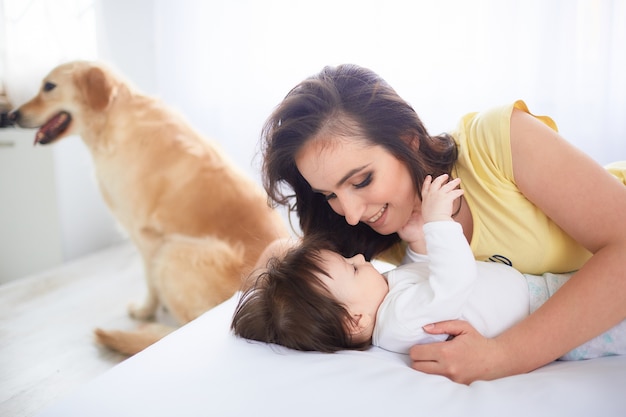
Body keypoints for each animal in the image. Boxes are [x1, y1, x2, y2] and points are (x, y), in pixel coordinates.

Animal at [10, 60, 288, 354]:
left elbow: (150, 283)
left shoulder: (146, 236)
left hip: (172, 252)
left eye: (49, 87)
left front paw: (145, 310)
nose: (12, 116)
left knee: (182, 326)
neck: (111, 121)